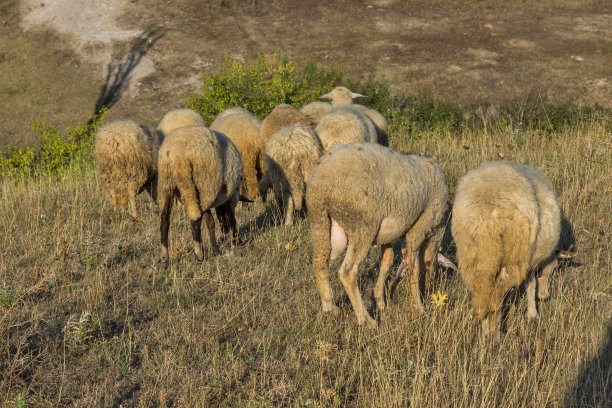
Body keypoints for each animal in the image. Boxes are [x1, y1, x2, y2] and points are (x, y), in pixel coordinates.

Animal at [157, 124, 243, 266]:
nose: (224, 231)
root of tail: (175, 155)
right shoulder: (228, 196)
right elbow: (231, 219)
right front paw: (237, 241)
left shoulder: (208, 199)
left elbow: (210, 222)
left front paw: (215, 250)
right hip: (198, 183)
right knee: (195, 220)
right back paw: (199, 254)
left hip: (167, 184)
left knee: (164, 219)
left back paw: (165, 258)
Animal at [308, 143, 448, 328]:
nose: (429, 289)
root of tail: (321, 178)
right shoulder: (418, 229)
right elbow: (414, 267)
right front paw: (419, 308)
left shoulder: (387, 234)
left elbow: (387, 260)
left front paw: (380, 300)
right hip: (362, 224)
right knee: (347, 272)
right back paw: (366, 320)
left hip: (319, 220)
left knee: (319, 262)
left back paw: (329, 306)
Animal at [450, 161, 564, 340]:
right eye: (553, 269)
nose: (545, 296)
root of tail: (486, 221)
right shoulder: (528, 261)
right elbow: (531, 285)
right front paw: (533, 314)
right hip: (513, 257)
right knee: (496, 299)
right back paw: (495, 338)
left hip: (470, 255)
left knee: (482, 293)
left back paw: (485, 335)